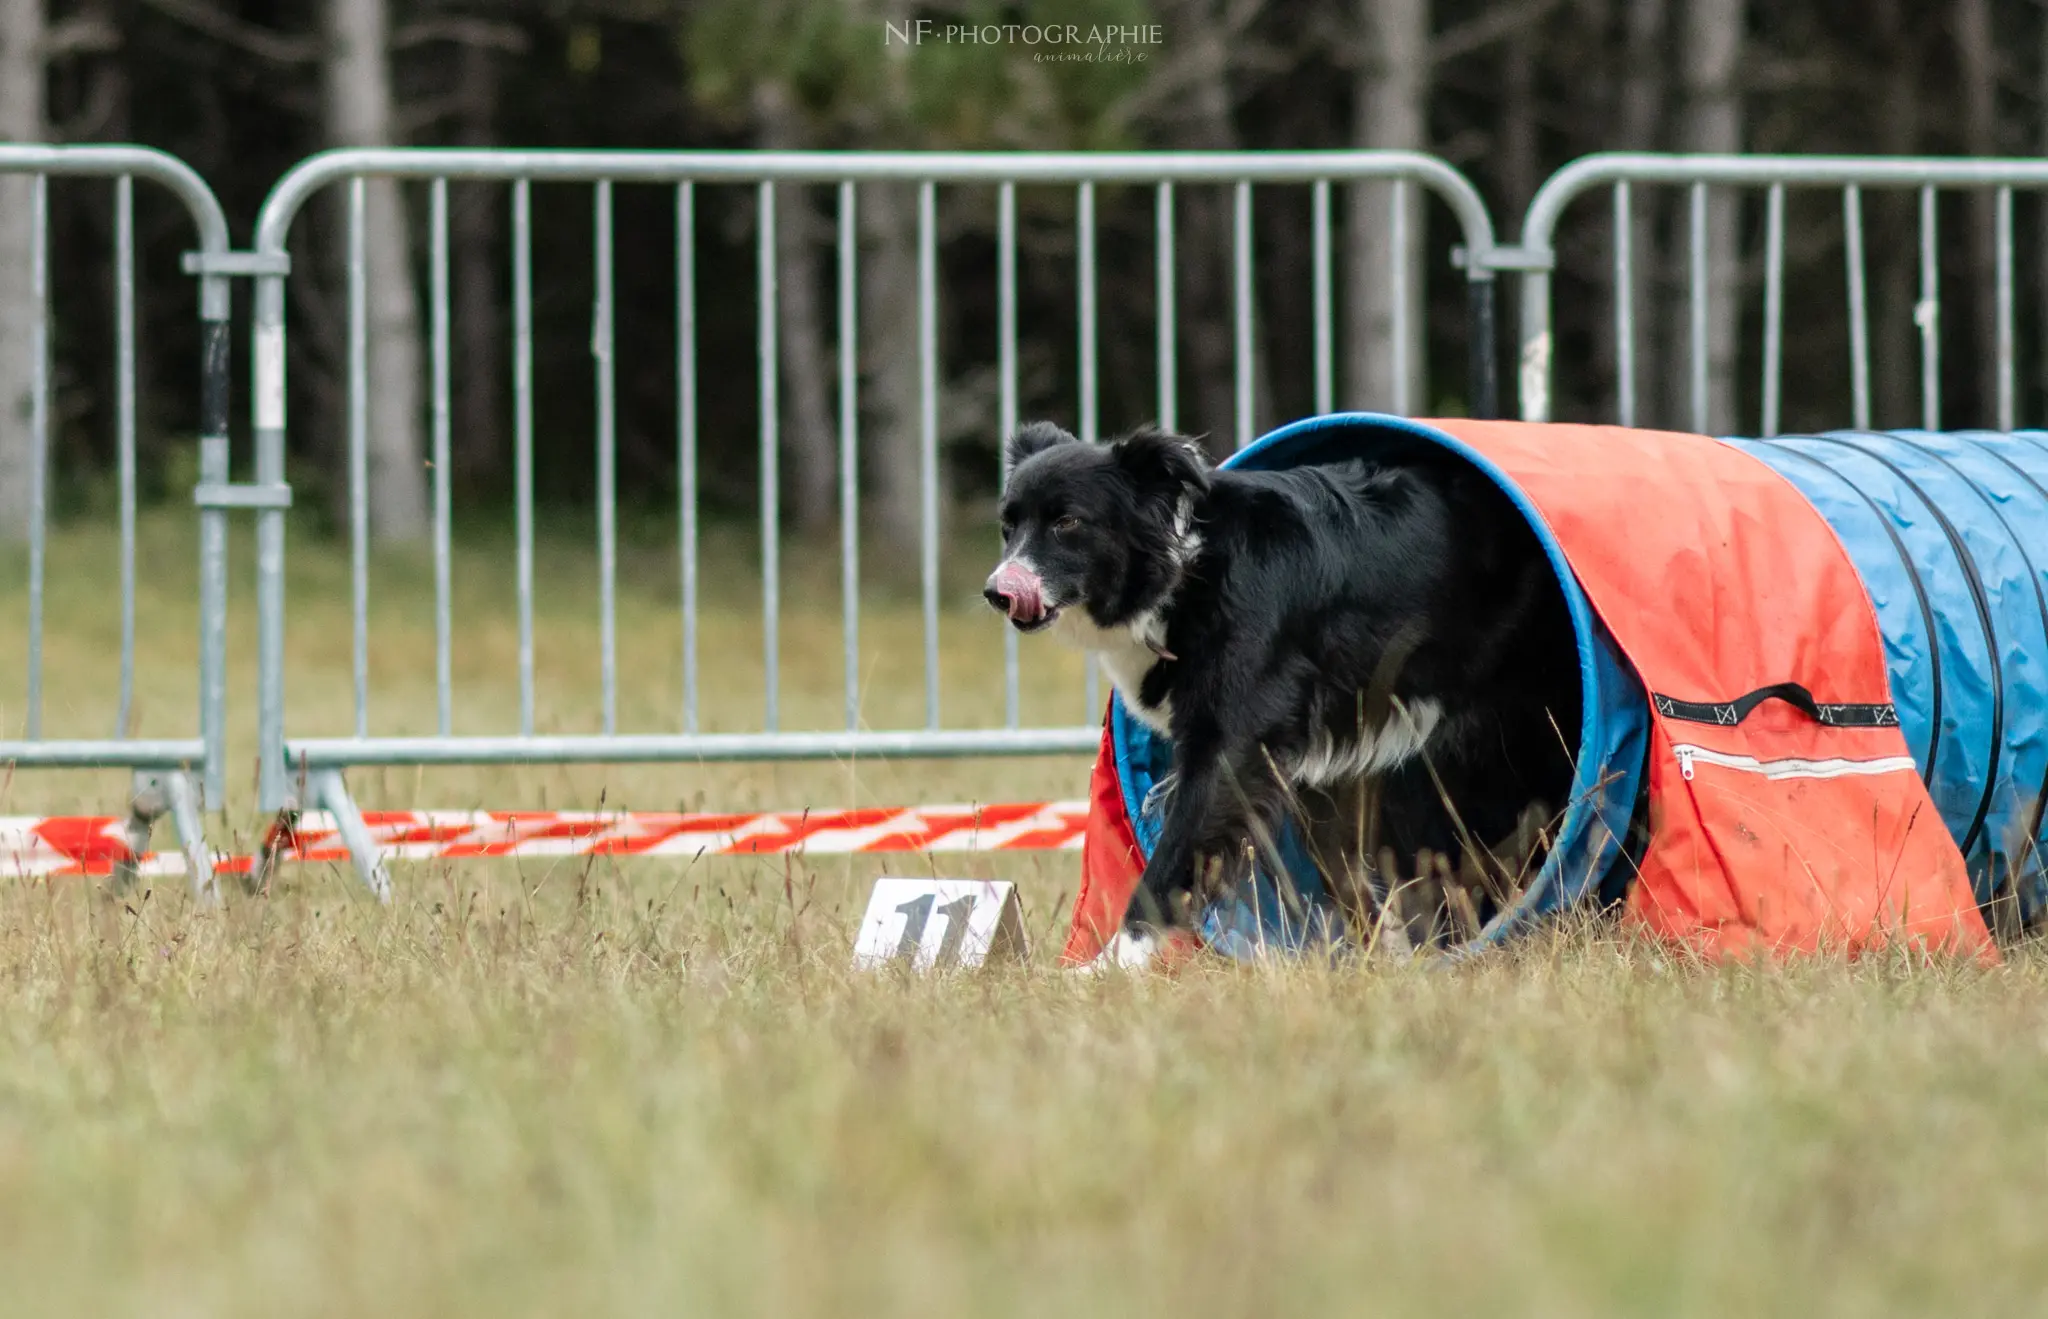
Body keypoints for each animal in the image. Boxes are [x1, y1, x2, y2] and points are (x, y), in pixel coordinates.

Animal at [987, 421, 1581, 966]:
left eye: (1067, 522)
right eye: (1007, 526)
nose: (997, 592)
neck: (1185, 571)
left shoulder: (1234, 741)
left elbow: (1175, 851)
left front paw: (1111, 963)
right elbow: (1345, 873)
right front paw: (1374, 959)